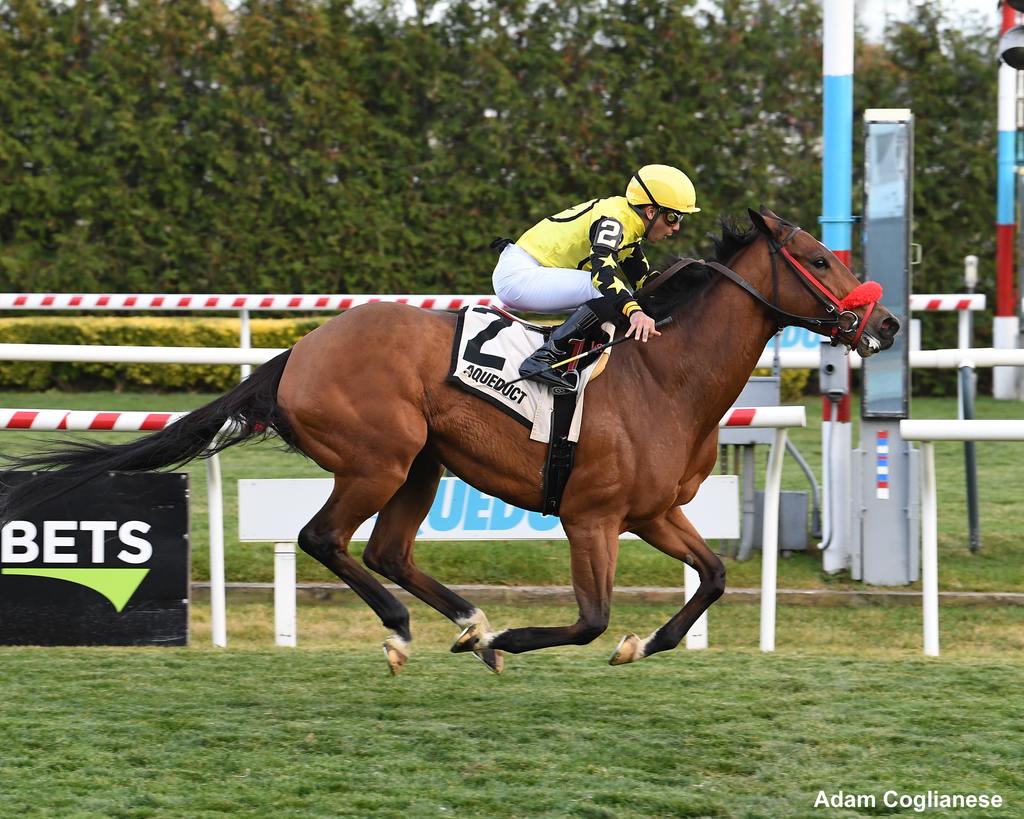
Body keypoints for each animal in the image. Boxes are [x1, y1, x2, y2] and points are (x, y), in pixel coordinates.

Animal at [0, 209, 897, 671]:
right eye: (820, 258)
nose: (885, 322)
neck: (665, 378)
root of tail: (301, 351)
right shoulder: (593, 516)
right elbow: (589, 617)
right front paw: (519, 639)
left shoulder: (652, 512)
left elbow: (711, 576)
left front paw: (646, 641)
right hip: (379, 456)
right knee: (324, 537)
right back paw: (412, 627)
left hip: (422, 466)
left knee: (388, 548)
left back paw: (464, 620)